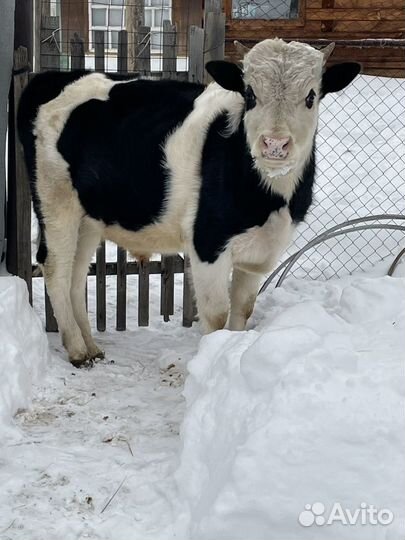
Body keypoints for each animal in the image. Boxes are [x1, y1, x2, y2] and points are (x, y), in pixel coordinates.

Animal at [18, 39, 360, 368]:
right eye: (250, 94)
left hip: (89, 215)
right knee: (55, 267)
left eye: (311, 96)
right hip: (55, 200)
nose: (275, 144)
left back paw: (91, 347)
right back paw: (77, 350)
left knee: (76, 274)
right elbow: (217, 314)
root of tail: (49, 77)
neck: (269, 202)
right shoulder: (207, 243)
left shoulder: (260, 251)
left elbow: (243, 309)